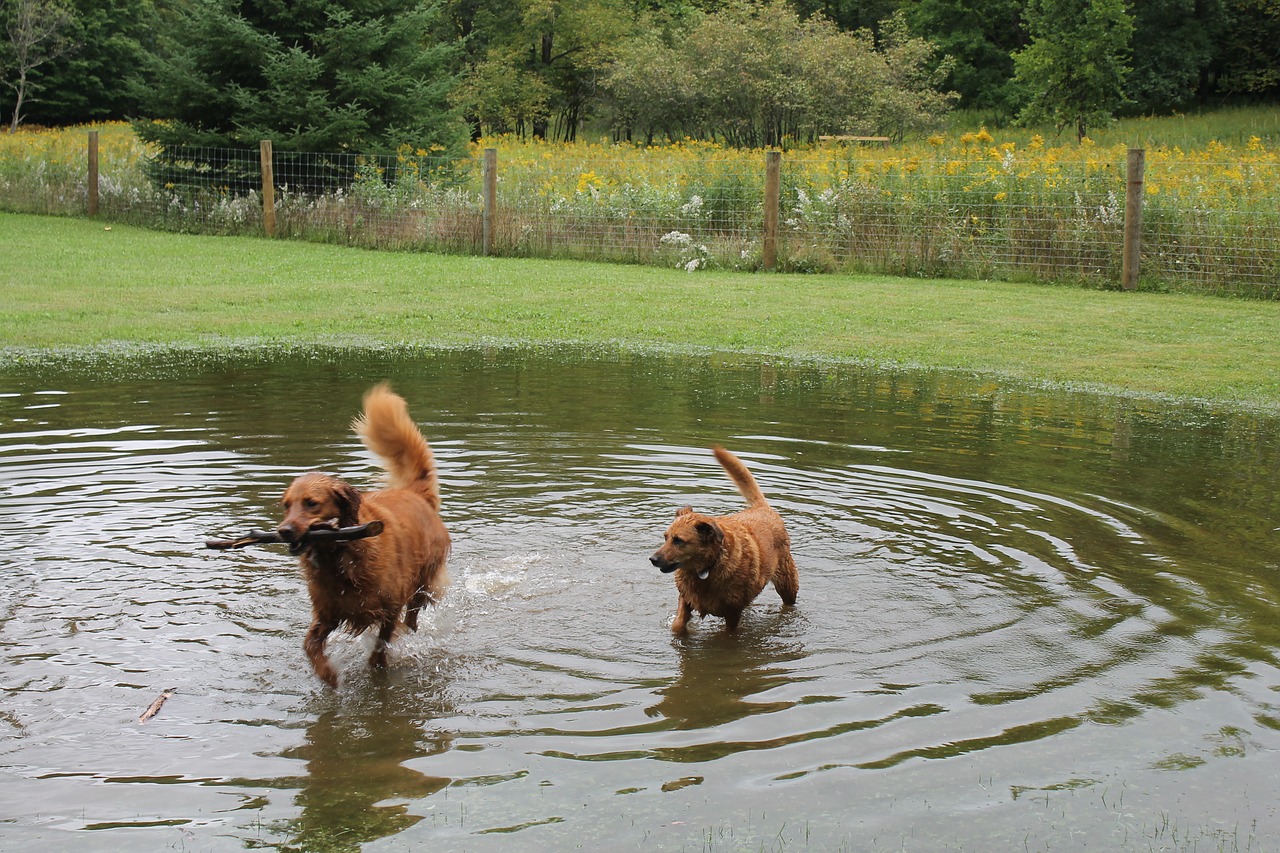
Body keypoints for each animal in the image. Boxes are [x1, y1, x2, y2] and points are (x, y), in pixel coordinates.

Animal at [276, 381, 450, 686]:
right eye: (287, 505)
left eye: (311, 503)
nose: (284, 531)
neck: (341, 555)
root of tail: (414, 492)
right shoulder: (328, 611)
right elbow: (310, 644)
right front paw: (327, 675)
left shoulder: (390, 606)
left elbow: (380, 646)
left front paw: (377, 669)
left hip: (423, 581)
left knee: (413, 617)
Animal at [655, 445, 793, 630]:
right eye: (666, 538)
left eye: (678, 540)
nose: (653, 559)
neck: (707, 569)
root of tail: (762, 508)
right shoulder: (686, 599)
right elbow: (678, 626)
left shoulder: (733, 612)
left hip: (788, 584)